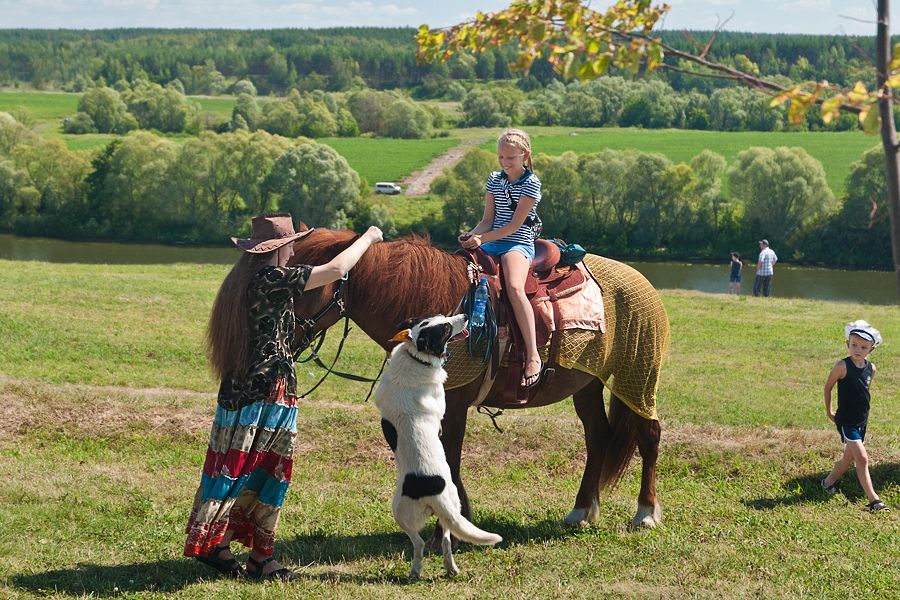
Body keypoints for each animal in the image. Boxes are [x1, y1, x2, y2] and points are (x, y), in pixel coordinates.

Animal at [288, 229, 668, 536]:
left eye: (307, 286)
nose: (283, 332)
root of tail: (640, 281)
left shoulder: (453, 404)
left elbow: (450, 457)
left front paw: (452, 527)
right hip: (586, 384)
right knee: (598, 436)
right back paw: (582, 510)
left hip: (638, 373)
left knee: (649, 435)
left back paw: (646, 513)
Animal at [370, 314, 500, 576]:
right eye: (446, 327)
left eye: (444, 319)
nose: (466, 316)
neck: (416, 355)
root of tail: (436, 493)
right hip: (433, 512)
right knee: (440, 542)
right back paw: (444, 569)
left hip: (403, 512)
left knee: (424, 543)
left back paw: (420, 570)